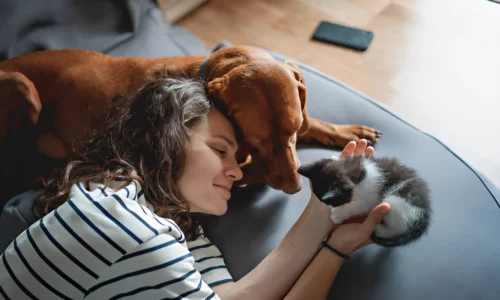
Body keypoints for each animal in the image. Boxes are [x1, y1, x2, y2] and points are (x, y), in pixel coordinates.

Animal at [0, 45, 378, 200]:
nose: (295, 189)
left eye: (293, 130)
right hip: (23, 86)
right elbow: (250, 172)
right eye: (257, 139)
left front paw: (348, 130)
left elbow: (315, 123)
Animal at [298, 156, 432, 247]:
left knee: (399, 227)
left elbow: (360, 206)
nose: (329, 207)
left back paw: (379, 228)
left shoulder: (371, 197)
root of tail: (424, 219)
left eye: (334, 202)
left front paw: (338, 214)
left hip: (396, 202)